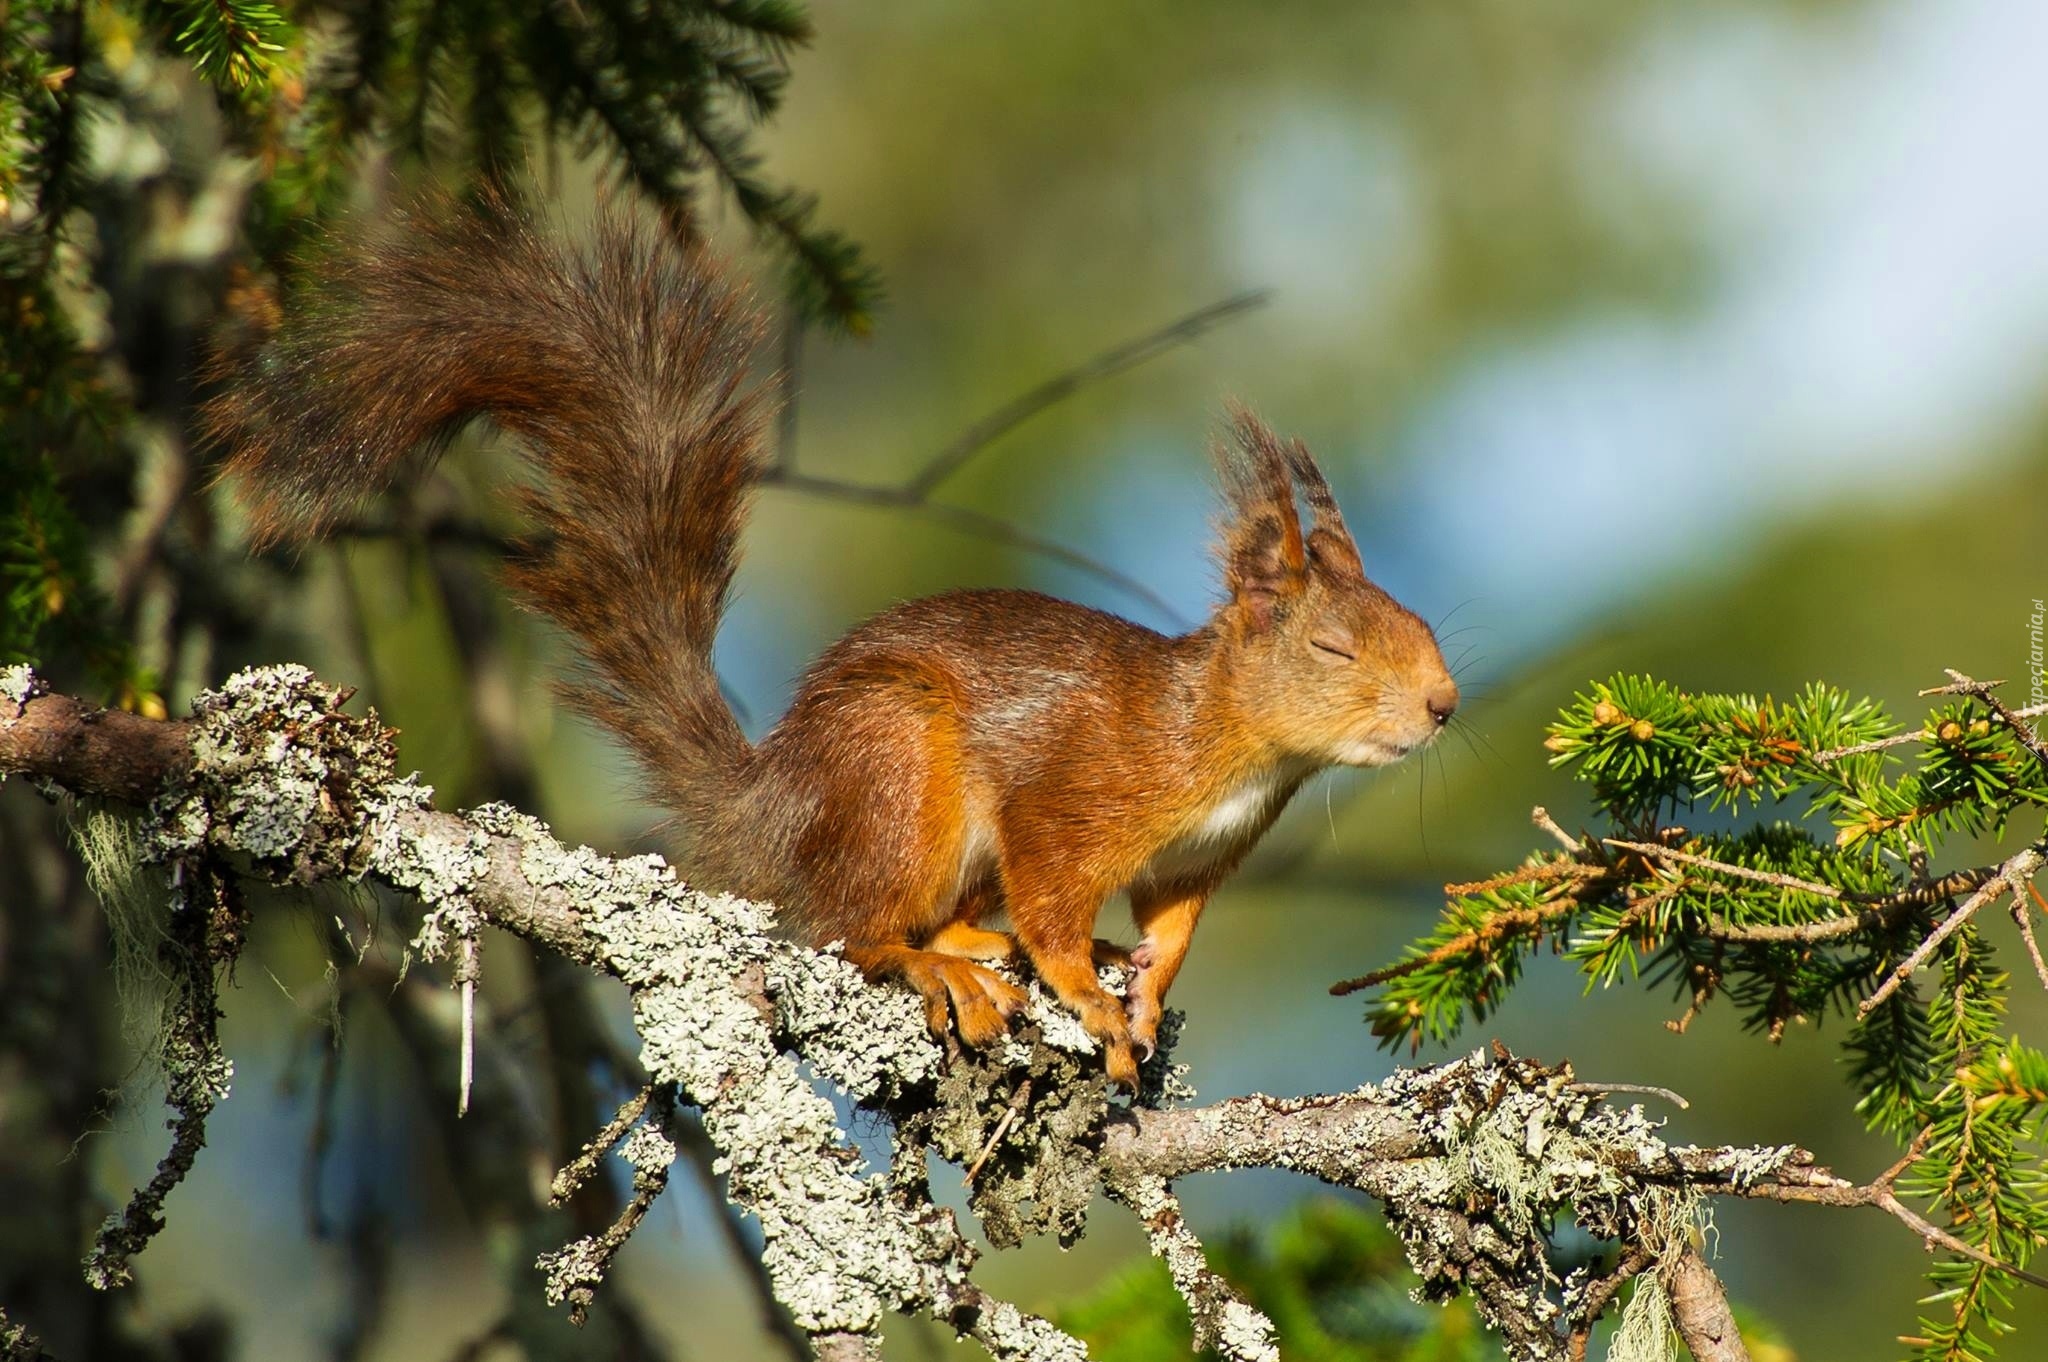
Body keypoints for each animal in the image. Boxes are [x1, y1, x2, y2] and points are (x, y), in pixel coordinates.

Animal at [207, 196, 1458, 1081]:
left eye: (1420, 626)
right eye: (1334, 650)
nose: (1442, 706)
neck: (1223, 741)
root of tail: (772, 813)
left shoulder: (1196, 859)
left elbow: (1172, 927)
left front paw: (1139, 988)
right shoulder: (1069, 798)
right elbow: (1054, 903)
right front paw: (1087, 990)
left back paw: (971, 947)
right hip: (900, 774)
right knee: (847, 931)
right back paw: (941, 965)